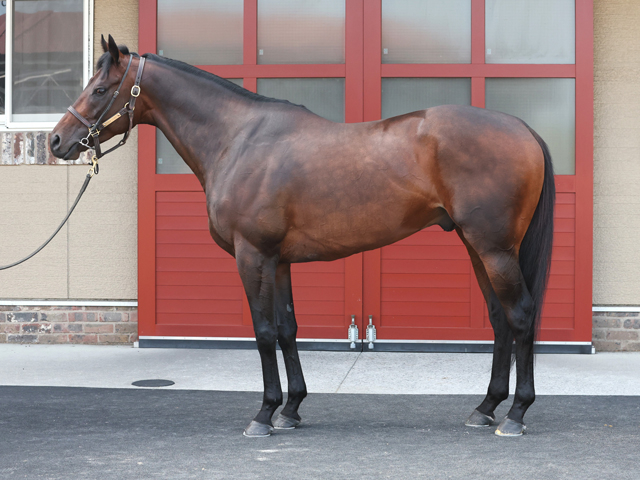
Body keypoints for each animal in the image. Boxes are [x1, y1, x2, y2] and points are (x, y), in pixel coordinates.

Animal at [50, 35, 555, 438]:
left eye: (100, 90)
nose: (56, 141)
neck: (237, 140)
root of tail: (522, 128)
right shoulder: (279, 261)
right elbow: (288, 329)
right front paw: (291, 409)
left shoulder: (252, 256)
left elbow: (263, 332)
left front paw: (264, 414)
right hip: (477, 248)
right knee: (500, 320)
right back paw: (485, 408)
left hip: (494, 250)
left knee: (521, 315)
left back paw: (516, 415)